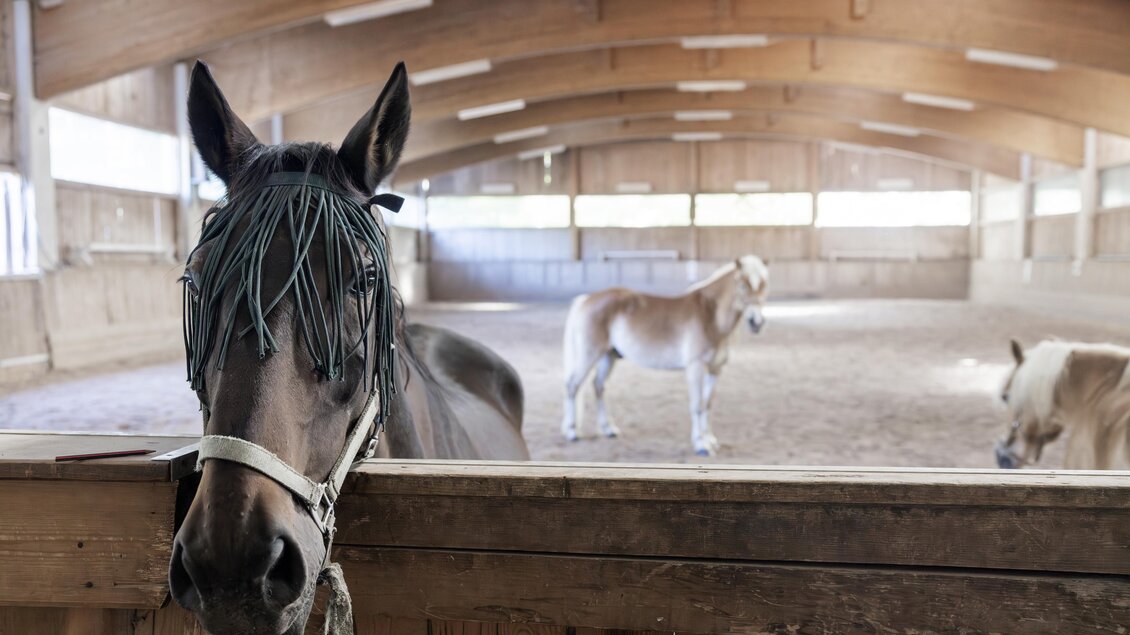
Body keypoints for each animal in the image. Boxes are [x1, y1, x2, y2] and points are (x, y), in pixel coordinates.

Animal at [560, 256, 769, 456]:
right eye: (742, 285)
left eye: (764, 284)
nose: (756, 322)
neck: (710, 316)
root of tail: (587, 298)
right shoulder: (695, 367)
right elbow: (697, 405)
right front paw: (701, 445)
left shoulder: (715, 369)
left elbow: (708, 404)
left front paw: (710, 440)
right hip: (590, 354)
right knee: (573, 386)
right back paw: (572, 432)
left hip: (608, 356)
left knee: (599, 386)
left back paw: (608, 429)